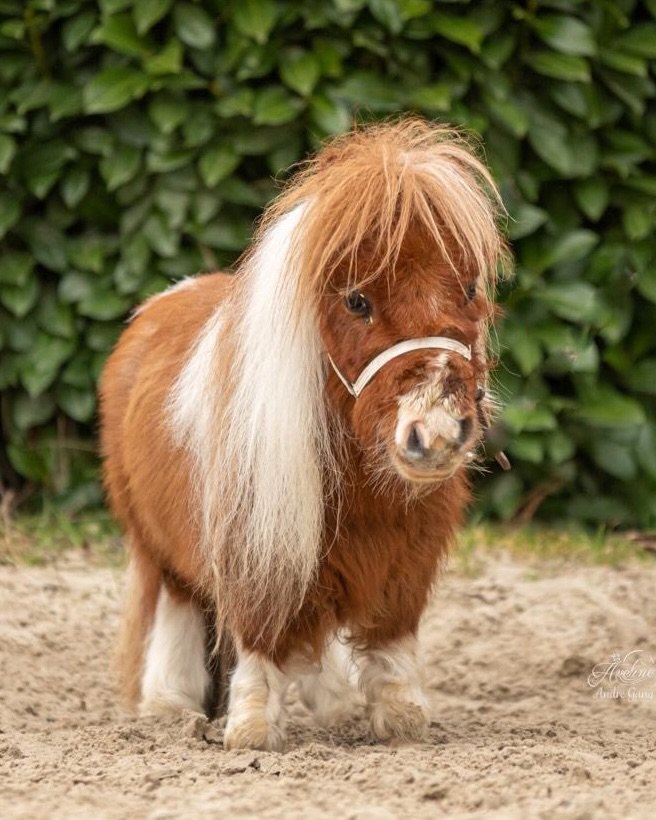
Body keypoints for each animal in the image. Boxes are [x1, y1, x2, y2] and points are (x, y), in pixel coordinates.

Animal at [99, 118, 507, 750]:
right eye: (357, 300)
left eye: (467, 290)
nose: (436, 434)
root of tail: (157, 307)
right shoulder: (256, 545)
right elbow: (260, 638)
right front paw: (250, 730)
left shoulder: (406, 556)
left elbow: (389, 641)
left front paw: (400, 719)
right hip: (155, 543)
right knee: (179, 606)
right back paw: (170, 705)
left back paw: (332, 706)